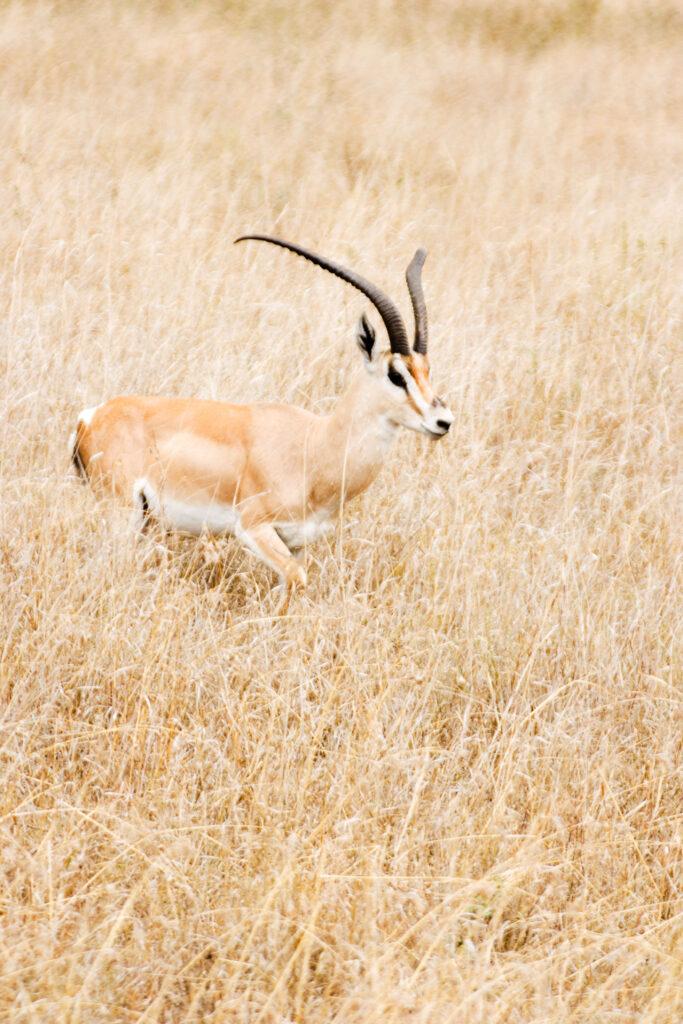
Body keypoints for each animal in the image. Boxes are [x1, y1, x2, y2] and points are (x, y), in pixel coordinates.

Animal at [70, 235, 453, 592]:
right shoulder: (253, 528)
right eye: (395, 374)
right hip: (122, 515)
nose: (443, 421)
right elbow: (297, 578)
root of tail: (92, 417)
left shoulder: (297, 542)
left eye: (427, 370)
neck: (318, 445)